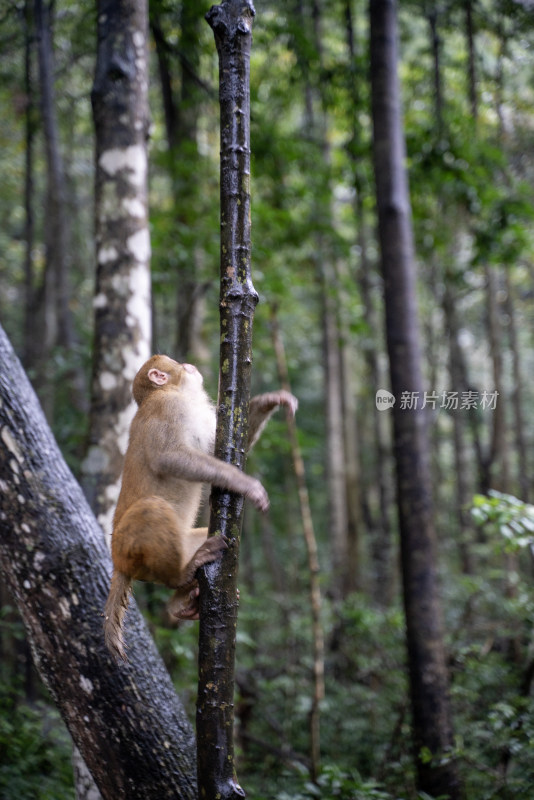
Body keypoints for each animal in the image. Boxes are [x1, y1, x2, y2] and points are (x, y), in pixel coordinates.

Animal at [104, 356, 298, 664]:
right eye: (173, 362)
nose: (186, 362)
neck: (170, 391)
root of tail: (118, 562)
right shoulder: (168, 407)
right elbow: (169, 456)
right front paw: (245, 484)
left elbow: (210, 450)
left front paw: (271, 401)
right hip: (131, 546)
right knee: (152, 508)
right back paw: (182, 575)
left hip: (179, 544)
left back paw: (181, 601)